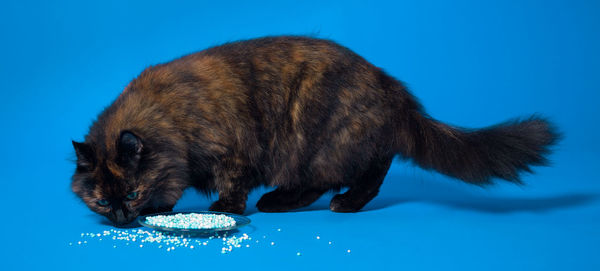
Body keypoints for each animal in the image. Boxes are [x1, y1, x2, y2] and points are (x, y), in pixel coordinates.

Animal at [70, 36, 556, 227]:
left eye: (132, 193)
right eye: (102, 200)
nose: (120, 217)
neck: (168, 117)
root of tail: (390, 86)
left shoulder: (231, 152)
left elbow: (231, 186)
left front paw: (222, 208)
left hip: (323, 139)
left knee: (368, 172)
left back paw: (345, 203)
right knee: (315, 185)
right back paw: (279, 202)